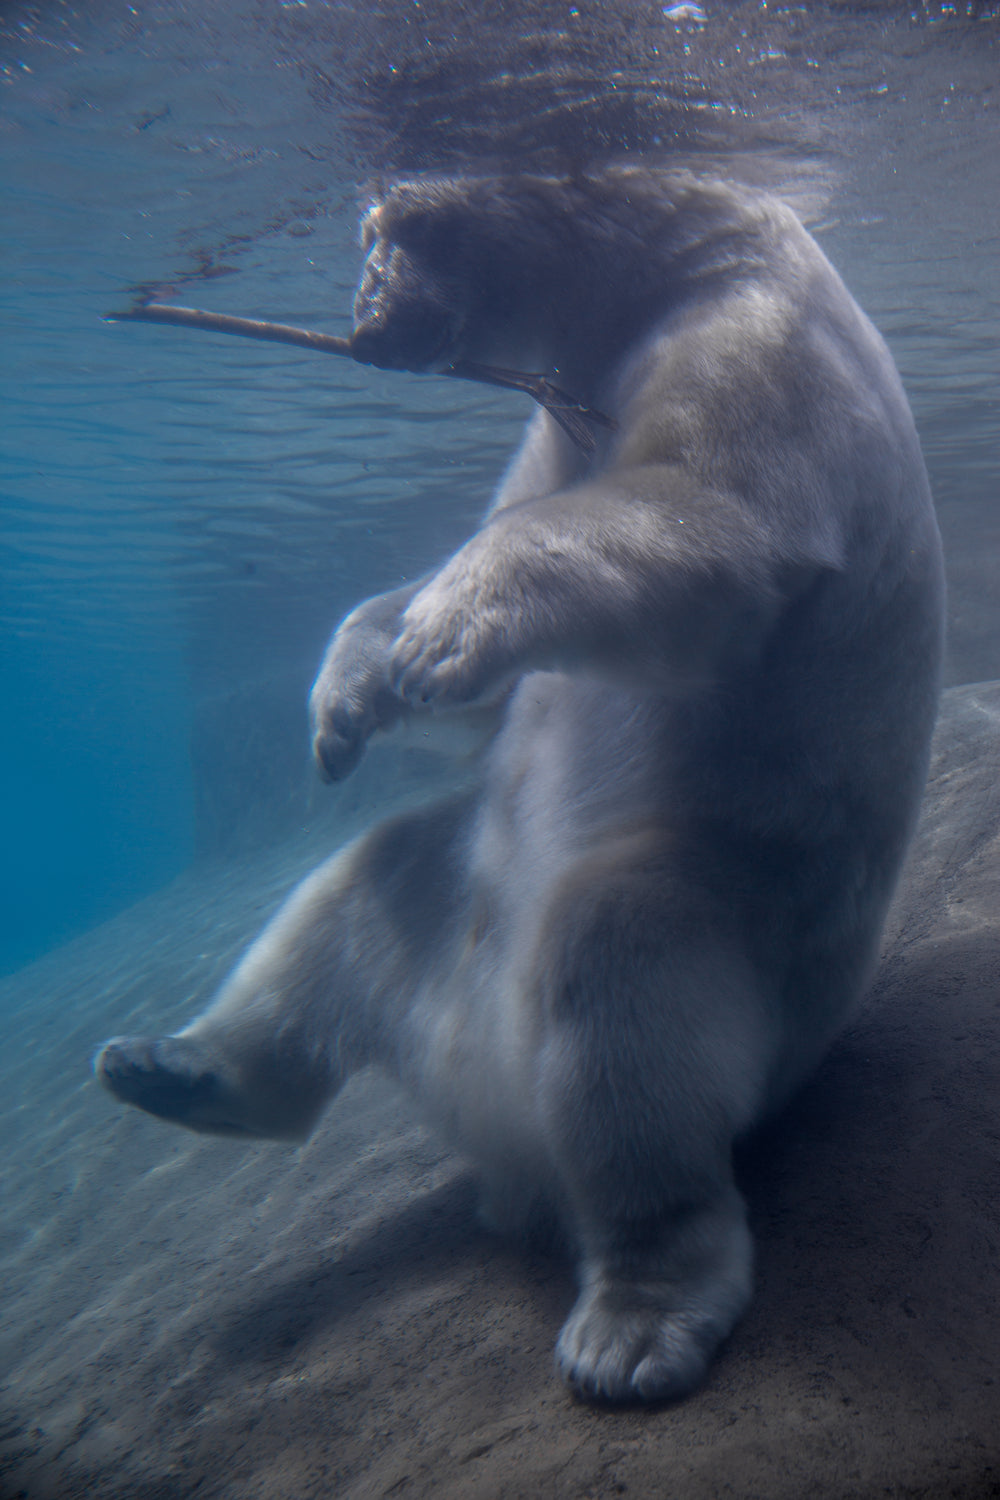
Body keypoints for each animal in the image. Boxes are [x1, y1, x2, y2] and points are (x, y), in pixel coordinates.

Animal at [95, 167, 947, 1404]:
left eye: (387, 235)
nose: (363, 321)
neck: (680, 254)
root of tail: (493, 1117)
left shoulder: (752, 340)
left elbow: (703, 522)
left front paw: (441, 633)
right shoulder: (558, 412)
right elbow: (487, 667)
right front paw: (353, 696)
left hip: (741, 926)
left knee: (620, 986)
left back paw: (631, 1327)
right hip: (445, 922)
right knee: (356, 889)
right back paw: (173, 1067)